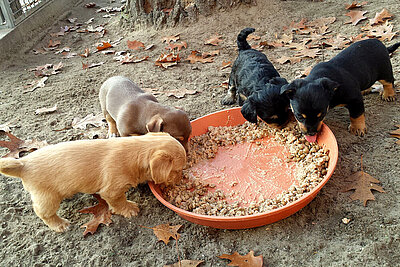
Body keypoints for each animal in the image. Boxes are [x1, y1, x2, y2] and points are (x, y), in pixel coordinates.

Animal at [0, 133, 187, 232]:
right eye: (177, 170)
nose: (181, 180)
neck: (135, 152)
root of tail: (23, 163)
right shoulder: (112, 190)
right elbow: (119, 202)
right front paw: (129, 209)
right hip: (48, 198)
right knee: (43, 213)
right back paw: (60, 224)